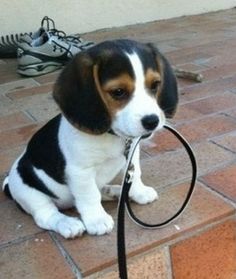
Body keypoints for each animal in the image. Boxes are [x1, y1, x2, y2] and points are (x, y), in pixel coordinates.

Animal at [2, 40, 178, 240]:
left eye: (155, 85)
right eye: (118, 92)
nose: (152, 121)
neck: (112, 135)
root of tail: (9, 184)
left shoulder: (132, 155)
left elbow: (135, 174)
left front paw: (139, 191)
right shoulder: (80, 171)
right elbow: (90, 195)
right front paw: (97, 220)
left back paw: (115, 191)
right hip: (30, 192)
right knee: (46, 215)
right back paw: (68, 224)